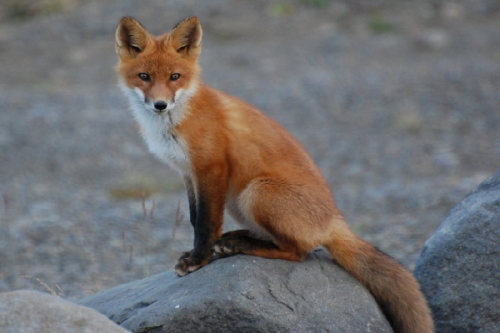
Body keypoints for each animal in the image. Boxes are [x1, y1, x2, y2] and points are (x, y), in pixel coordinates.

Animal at [114, 16, 434, 332]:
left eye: (175, 77)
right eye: (144, 76)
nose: (160, 105)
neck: (175, 121)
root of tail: (334, 219)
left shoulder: (211, 167)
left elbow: (205, 223)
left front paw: (198, 260)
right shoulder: (188, 173)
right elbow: (195, 218)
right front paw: (197, 253)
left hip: (257, 192)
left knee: (299, 251)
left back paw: (243, 245)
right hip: (238, 201)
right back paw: (238, 238)